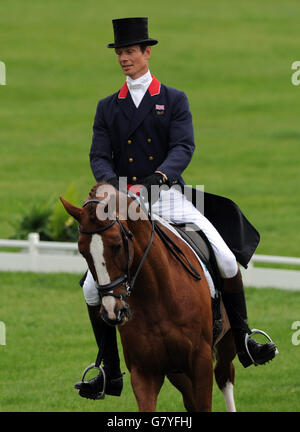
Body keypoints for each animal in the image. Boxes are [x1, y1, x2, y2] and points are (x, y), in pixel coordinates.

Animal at [61, 182, 237, 412]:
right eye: (83, 251)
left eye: (117, 245)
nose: (113, 312)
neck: (156, 296)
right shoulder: (144, 372)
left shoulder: (201, 364)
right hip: (176, 371)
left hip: (226, 341)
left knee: (225, 375)